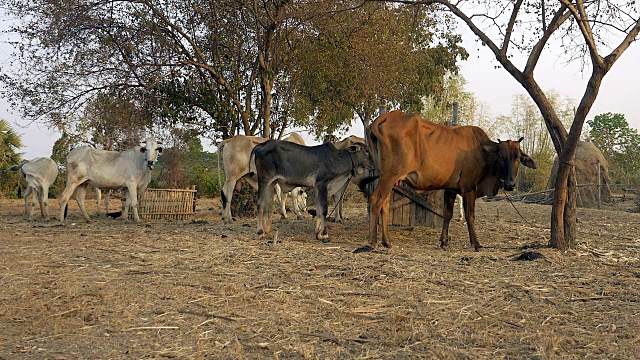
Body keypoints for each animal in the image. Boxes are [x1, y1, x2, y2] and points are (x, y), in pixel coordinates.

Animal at [360, 111, 536, 252]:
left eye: (518, 158)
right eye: (501, 157)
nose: (510, 184)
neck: (482, 151)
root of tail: (385, 117)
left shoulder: (451, 189)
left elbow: (447, 214)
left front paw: (444, 241)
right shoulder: (469, 188)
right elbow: (470, 216)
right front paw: (476, 243)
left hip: (389, 178)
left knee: (385, 204)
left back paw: (387, 241)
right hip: (390, 176)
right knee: (375, 200)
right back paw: (373, 241)